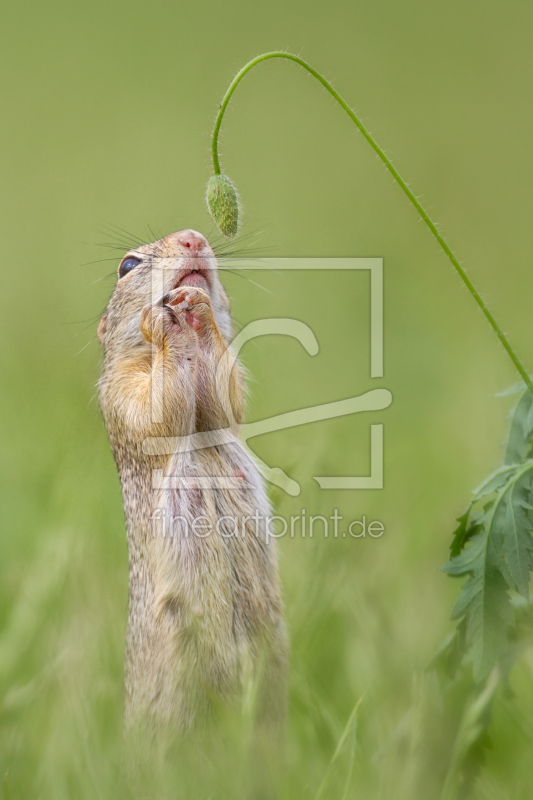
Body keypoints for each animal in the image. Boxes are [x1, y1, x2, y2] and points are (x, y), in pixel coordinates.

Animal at [95, 228, 286, 736]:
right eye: (127, 265)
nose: (193, 237)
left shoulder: (222, 392)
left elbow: (226, 395)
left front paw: (196, 304)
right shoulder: (120, 389)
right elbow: (154, 410)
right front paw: (159, 320)